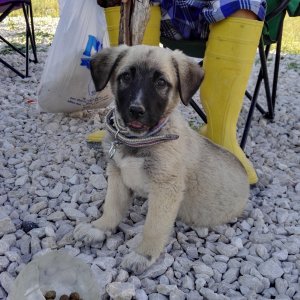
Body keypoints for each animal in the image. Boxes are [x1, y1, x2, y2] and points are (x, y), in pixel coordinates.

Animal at [74, 45, 250, 274]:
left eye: (161, 83)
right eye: (126, 77)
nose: (136, 110)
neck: (139, 140)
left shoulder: (166, 188)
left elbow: (154, 226)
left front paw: (143, 254)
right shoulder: (117, 174)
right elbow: (112, 205)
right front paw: (99, 227)